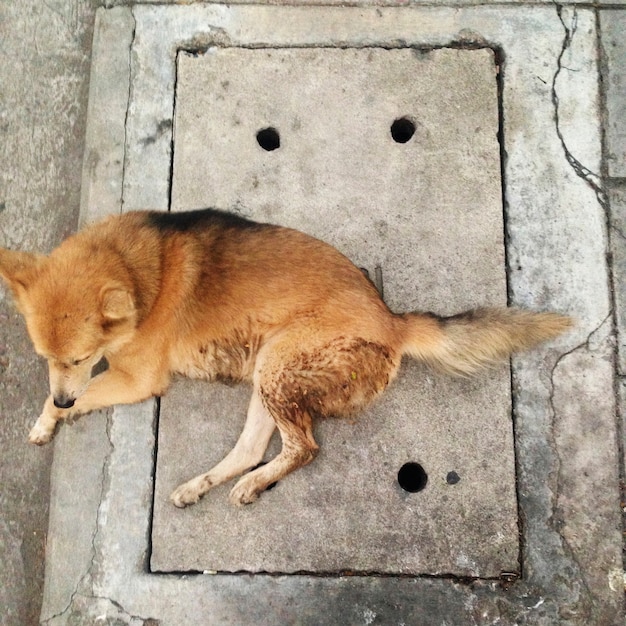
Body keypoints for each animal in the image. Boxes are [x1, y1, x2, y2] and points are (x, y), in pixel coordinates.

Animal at [0, 207, 568, 504]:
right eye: (44, 355)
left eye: (78, 358)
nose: (65, 400)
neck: (136, 268)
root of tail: (392, 318)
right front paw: (51, 416)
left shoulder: (137, 380)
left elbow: (77, 395)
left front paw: (49, 419)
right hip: (265, 376)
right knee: (253, 449)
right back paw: (203, 485)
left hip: (277, 366)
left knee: (303, 448)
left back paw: (253, 484)